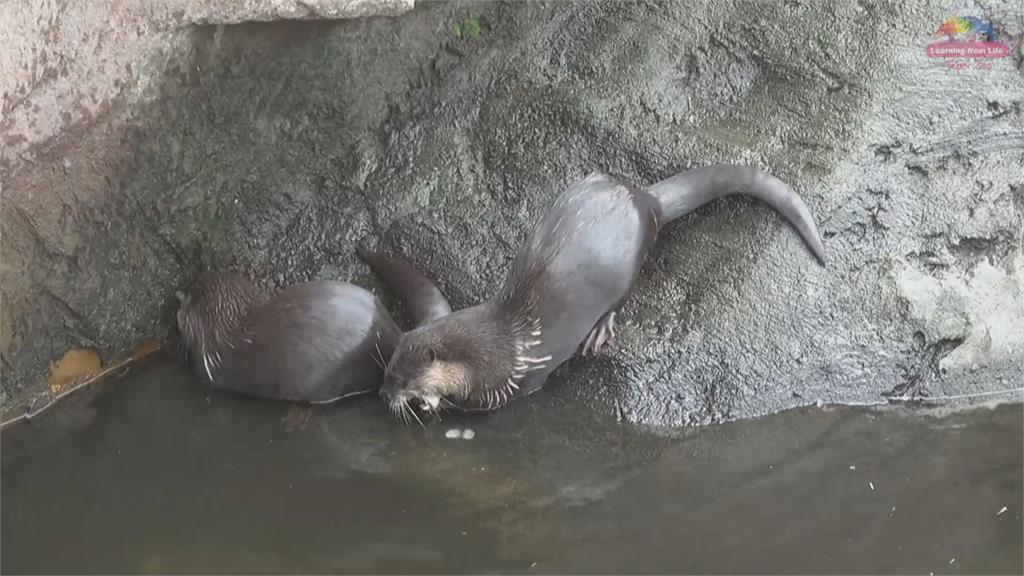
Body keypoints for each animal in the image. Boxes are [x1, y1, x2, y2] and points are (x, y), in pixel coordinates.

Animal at [368, 166, 823, 412]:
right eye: (387, 368)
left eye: (403, 379)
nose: (383, 392)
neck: (503, 346)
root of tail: (644, 201)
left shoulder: (514, 383)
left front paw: (432, 402)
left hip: (628, 265)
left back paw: (600, 331)